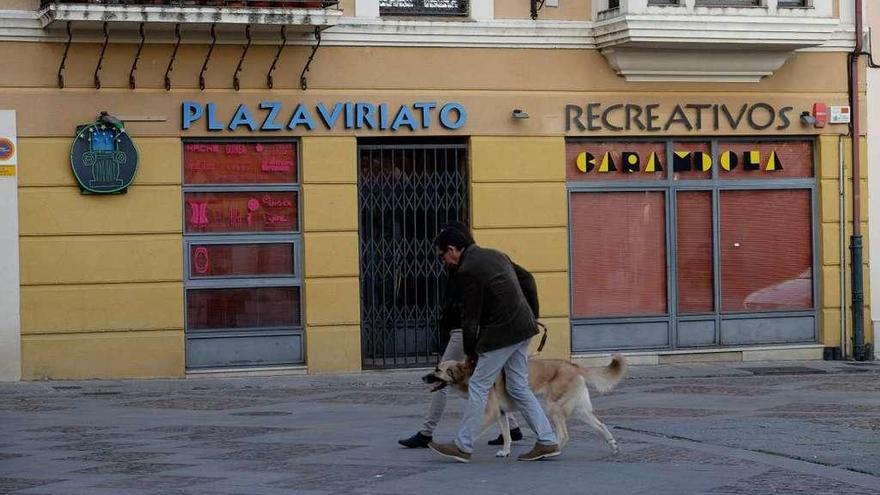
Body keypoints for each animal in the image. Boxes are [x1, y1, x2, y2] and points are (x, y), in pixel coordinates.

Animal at [424, 356, 624, 458]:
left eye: (437, 370)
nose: (423, 378)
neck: (468, 374)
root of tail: (573, 365)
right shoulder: (500, 414)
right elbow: (506, 436)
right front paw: (505, 451)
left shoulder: (489, 413)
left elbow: (473, 428)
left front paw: (458, 446)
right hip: (578, 410)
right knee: (600, 425)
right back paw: (612, 445)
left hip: (554, 408)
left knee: (564, 434)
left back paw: (552, 449)